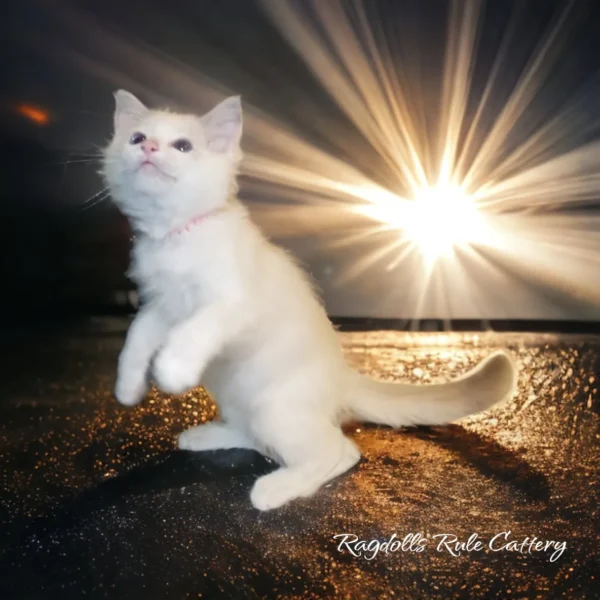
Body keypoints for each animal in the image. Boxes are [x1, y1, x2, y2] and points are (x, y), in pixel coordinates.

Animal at [102, 90, 516, 510]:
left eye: (183, 146)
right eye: (137, 138)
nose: (149, 148)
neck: (176, 236)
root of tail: (342, 378)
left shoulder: (232, 303)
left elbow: (193, 331)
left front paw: (172, 370)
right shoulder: (158, 307)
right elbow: (135, 341)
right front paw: (128, 387)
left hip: (275, 409)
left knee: (340, 452)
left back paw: (274, 489)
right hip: (240, 399)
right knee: (256, 435)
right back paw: (209, 436)